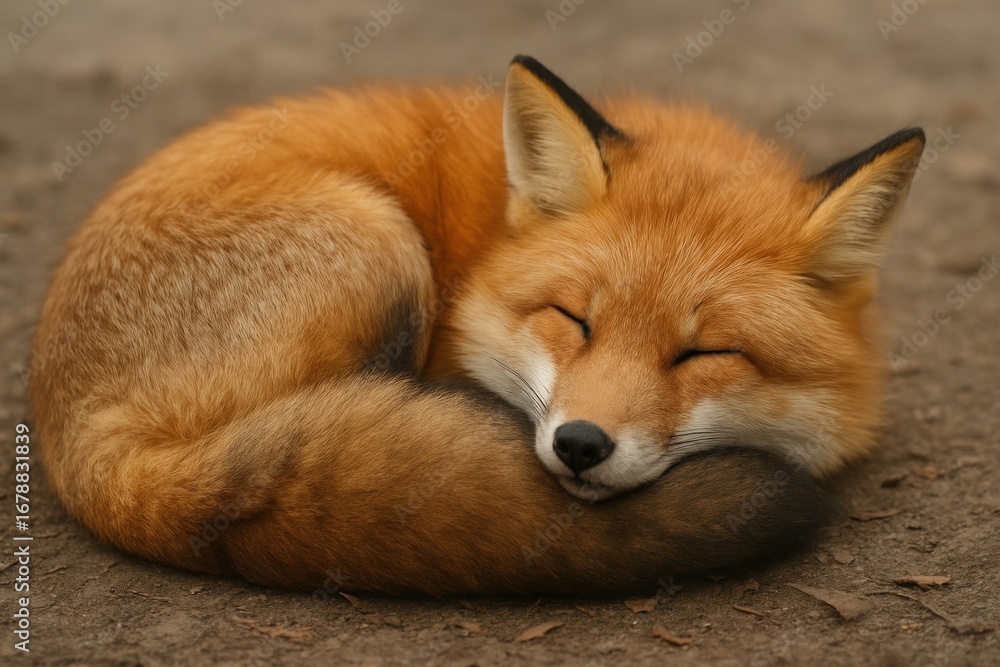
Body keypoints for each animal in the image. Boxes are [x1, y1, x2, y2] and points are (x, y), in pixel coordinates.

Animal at [28, 56, 924, 596]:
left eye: (703, 352)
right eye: (574, 319)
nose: (580, 444)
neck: (489, 248)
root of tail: (74, 433)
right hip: (378, 239)